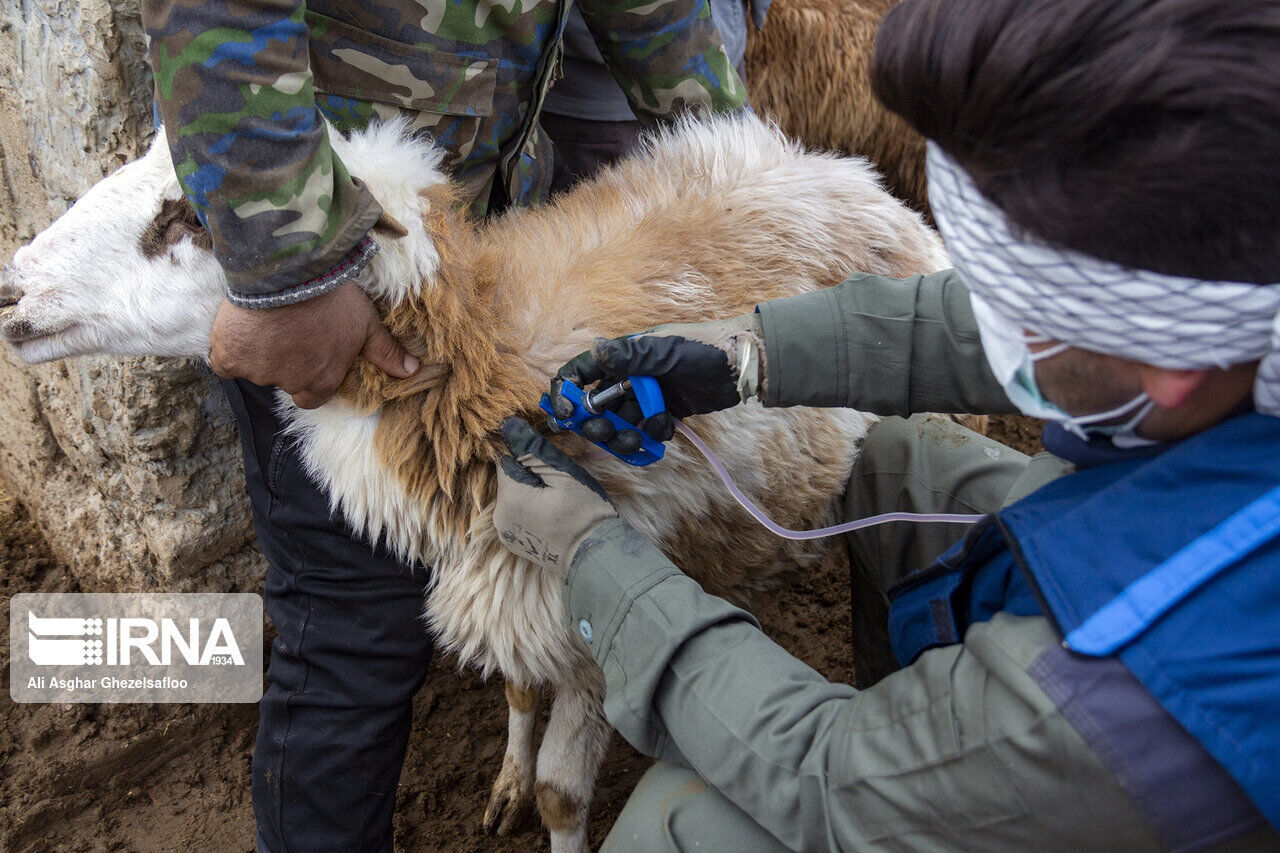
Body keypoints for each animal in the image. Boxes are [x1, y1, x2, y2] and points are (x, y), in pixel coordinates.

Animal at [2, 111, 952, 845]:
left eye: (193, 221)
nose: (11, 292)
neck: (472, 363)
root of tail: (849, 173)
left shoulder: (592, 617)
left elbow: (563, 795)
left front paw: (542, 798)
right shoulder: (512, 585)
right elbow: (521, 688)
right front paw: (502, 783)